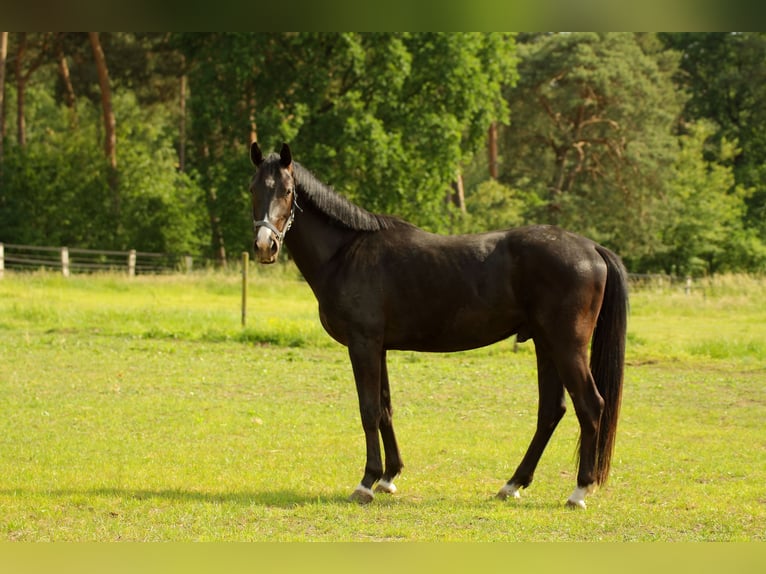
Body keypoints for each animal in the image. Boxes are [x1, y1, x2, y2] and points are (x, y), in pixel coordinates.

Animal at [249, 142, 628, 509]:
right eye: (253, 188)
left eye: (286, 190)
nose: (265, 246)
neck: (346, 253)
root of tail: (592, 248)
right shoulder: (379, 347)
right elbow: (385, 408)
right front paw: (389, 477)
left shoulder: (363, 344)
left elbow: (369, 410)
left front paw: (367, 482)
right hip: (545, 344)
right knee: (551, 410)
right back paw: (512, 484)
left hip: (567, 346)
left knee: (590, 406)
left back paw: (579, 491)